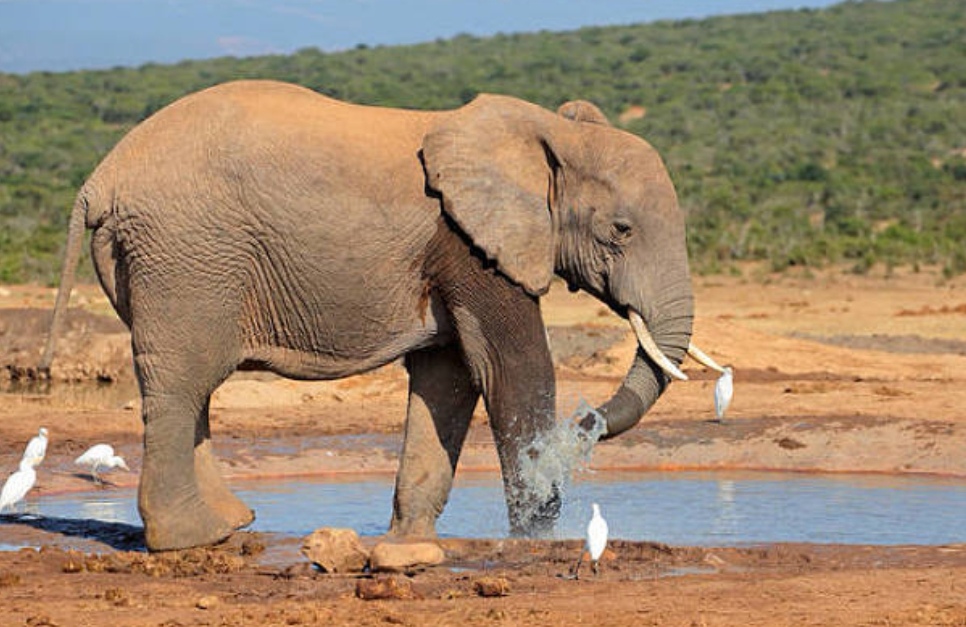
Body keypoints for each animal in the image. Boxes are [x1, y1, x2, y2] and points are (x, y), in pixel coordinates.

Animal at [41, 81, 728, 552]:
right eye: (621, 230)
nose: (588, 419)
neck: (543, 132)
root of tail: (99, 180)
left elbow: (449, 377)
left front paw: (409, 543)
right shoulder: (468, 241)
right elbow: (512, 367)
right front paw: (535, 541)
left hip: (159, 261)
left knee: (194, 389)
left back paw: (231, 523)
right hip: (184, 254)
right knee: (183, 381)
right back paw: (192, 538)